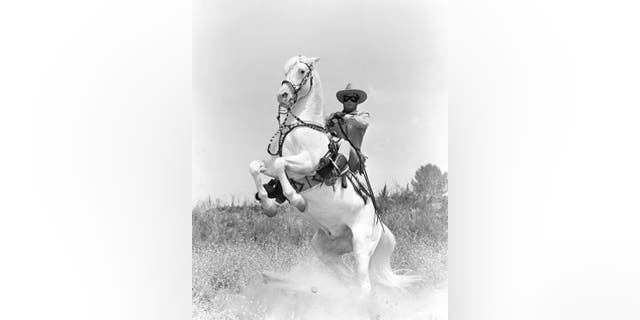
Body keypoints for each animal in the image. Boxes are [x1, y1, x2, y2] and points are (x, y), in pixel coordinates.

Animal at [248, 54, 418, 298]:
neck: (301, 128)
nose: (283, 95)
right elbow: (256, 166)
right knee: (346, 275)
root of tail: (380, 225)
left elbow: (281, 164)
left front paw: (296, 200)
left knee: (364, 284)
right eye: (285, 70)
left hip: (361, 247)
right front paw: (268, 204)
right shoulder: (276, 165)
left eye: (301, 71)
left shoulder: (307, 162)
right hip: (326, 248)